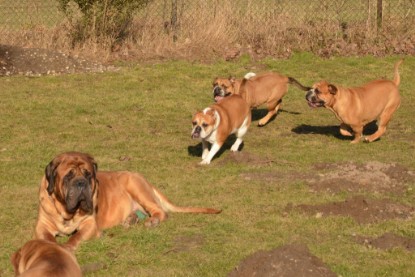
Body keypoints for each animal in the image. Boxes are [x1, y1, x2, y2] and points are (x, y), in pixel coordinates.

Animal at [35, 150, 223, 249]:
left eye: (88, 175)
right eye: (69, 176)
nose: (81, 182)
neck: (68, 213)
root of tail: (146, 180)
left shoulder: (90, 225)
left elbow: (76, 237)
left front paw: (66, 247)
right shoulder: (42, 226)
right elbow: (47, 238)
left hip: (135, 185)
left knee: (160, 211)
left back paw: (152, 221)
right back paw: (131, 220)